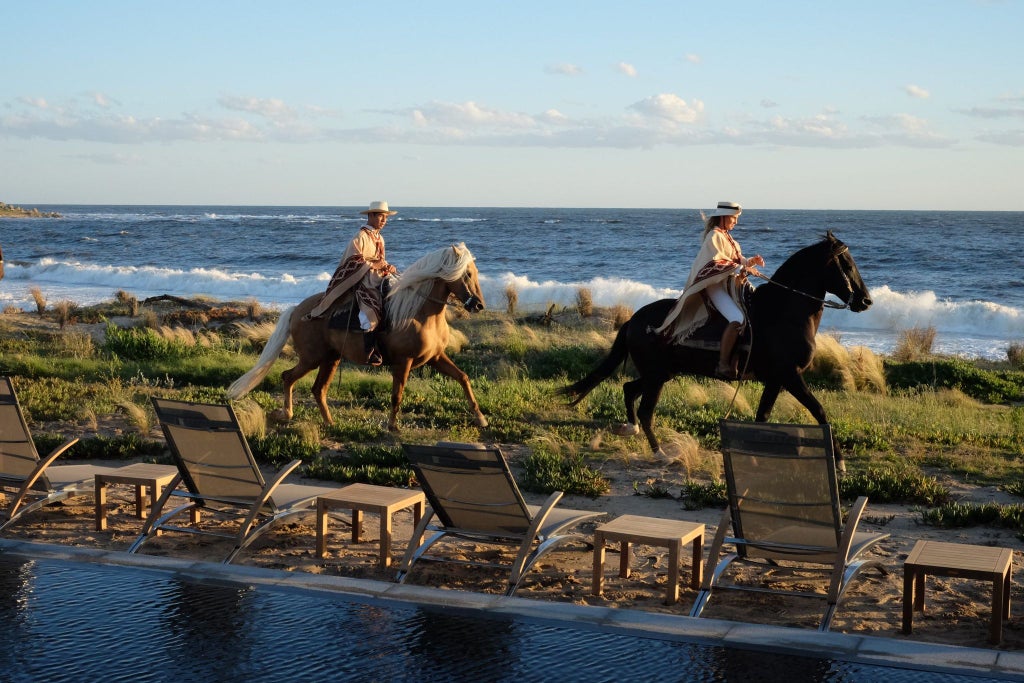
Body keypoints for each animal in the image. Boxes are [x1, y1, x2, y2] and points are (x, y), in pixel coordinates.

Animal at [230, 242, 485, 430]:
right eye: (467, 274)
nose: (478, 305)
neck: (419, 313)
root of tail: (296, 310)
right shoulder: (403, 362)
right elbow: (397, 394)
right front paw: (393, 426)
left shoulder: (436, 357)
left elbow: (463, 378)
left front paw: (481, 418)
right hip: (311, 358)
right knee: (288, 377)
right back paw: (288, 413)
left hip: (330, 359)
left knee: (318, 389)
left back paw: (329, 422)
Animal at [561, 232, 872, 466]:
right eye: (846, 263)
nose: (866, 301)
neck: (782, 314)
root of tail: (633, 319)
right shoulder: (790, 376)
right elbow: (819, 412)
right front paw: (840, 462)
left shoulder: (775, 380)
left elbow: (763, 417)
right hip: (657, 376)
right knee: (647, 410)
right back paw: (660, 453)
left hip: (660, 373)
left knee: (629, 390)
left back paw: (632, 428)